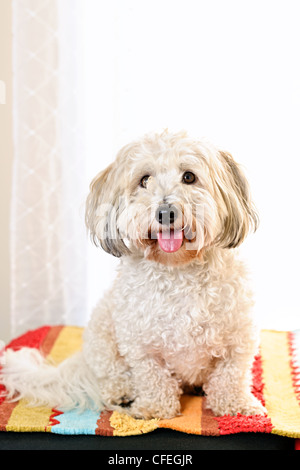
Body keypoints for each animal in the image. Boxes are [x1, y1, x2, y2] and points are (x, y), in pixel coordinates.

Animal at [0, 131, 268, 418]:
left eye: (189, 176)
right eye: (145, 180)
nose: (165, 212)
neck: (178, 271)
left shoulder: (238, 339)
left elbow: (231, 375)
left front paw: (236, 404)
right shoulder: (140, 345)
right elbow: (153, 378)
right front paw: (155, 408)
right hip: (103, 335)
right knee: (111, 374)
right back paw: (123, 393)